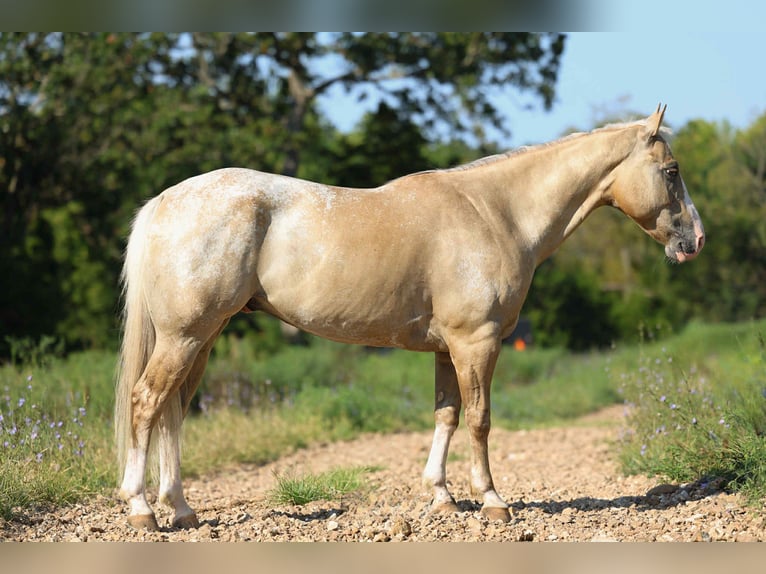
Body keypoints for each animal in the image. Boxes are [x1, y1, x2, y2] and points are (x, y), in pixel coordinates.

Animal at [115, 105, 704, 530]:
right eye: (672, 172)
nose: (694, 241)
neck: (496, 213)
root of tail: (162, 202)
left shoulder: (448, 348)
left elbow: (446, 416)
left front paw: (442, 497)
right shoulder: (477, 343)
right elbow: (480, 419)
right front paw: (492, 501)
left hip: (202, 337)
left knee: (173, 411)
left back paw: (182, 510)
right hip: (185, 336)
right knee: (147, 403)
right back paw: (143, 511)